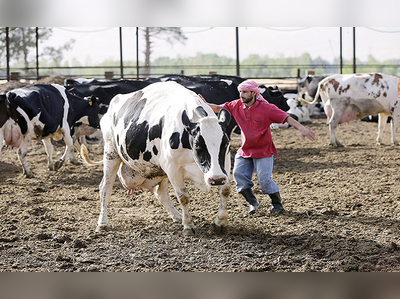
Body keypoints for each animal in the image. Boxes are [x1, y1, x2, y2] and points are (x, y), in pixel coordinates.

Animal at [81, 81, 231, 236]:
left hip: (160, 170)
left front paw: (220, 222)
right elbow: (183, 197)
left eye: (226, 143)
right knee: (105, 188)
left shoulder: (224, 163)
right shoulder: (172, 168)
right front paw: (188, 225)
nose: (216, 179)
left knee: (161, 194)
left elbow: (225, 190)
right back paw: (103, 223)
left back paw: (177, 216)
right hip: (111, 152)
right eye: (197, 144)